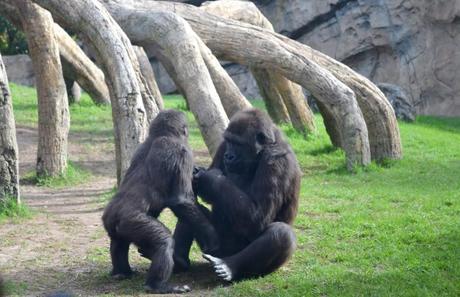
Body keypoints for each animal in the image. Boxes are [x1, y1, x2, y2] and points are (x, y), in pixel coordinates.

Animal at [102, 108, 219, 292]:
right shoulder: (184, 153)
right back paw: (157, 285)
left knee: (118, 242)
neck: (160, 135)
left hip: (112, 223)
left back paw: (121, 272)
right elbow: (181, 201)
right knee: (164, 242)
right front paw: (212, 236)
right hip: (132, 222)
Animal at [172, 108, 302, 280]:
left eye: (239, 144)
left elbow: (258, 217)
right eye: (229, 141)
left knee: (282, 233)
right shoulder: (222, 146)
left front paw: (210, 178)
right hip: (215, 248)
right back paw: (178, 260)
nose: (229, 156)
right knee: (188, 207)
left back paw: (229, 266)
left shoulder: (277, 161)